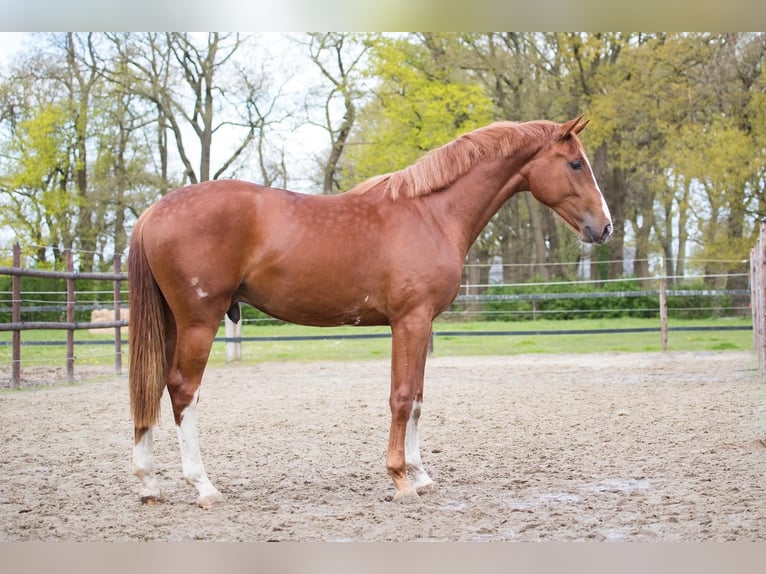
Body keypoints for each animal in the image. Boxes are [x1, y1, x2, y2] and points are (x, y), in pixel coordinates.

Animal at [129, 116, 616, 508]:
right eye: (576, 164)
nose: (605, 227)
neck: (430, 213)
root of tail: (152, 211)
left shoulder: (422, 324)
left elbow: (417, 398)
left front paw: (421, 475)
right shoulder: (410, 321)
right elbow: (401, 398)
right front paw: (400, 479)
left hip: (172, 323)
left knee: (152, 385)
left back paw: (150, 484)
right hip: (199, 321)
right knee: (182, 389)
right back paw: (203, 486)